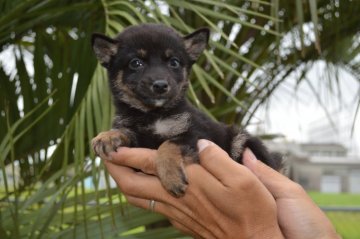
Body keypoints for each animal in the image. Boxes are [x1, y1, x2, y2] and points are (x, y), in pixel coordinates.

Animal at [90, 23, 282, 197]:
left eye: (174, 62)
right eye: (135, 63)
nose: (160, 85)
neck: (152, 114)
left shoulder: (194, 134)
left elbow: (168, 145)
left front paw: (172, 177)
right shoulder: (136, 135)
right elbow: (125, 131)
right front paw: (107, 136)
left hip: (239, 139)